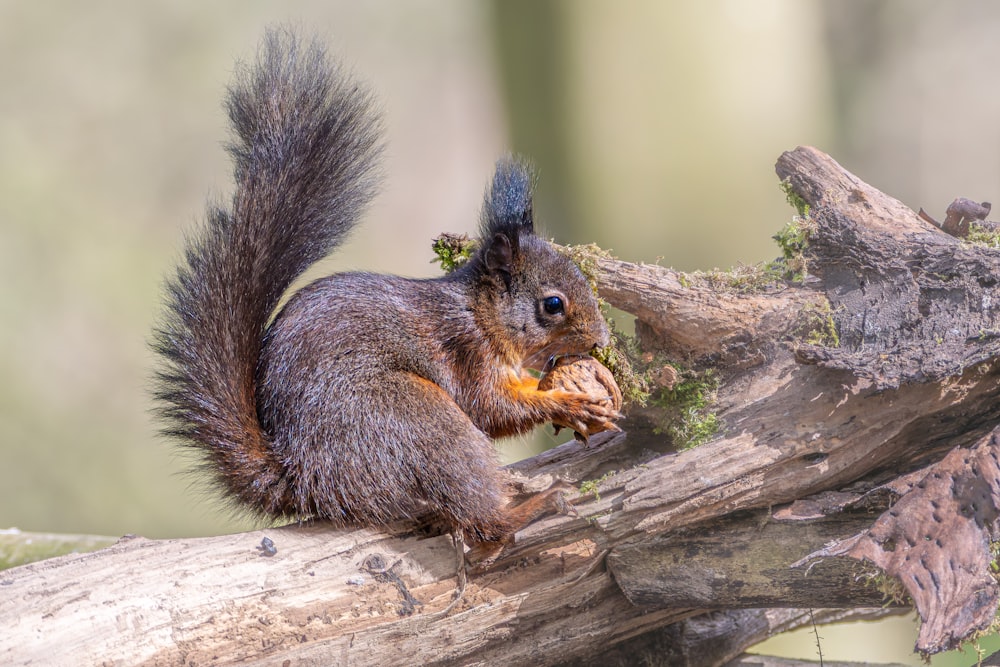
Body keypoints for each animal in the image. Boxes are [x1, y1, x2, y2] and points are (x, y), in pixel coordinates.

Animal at [153, 28, 616, 544]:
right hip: (417, 417)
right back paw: (534, 506)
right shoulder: (465, 354)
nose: (601, 339)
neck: (480, 315)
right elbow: (491, 408)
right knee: (481, 518)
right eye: (552, 304)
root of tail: (307, 476)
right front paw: (568, 403)